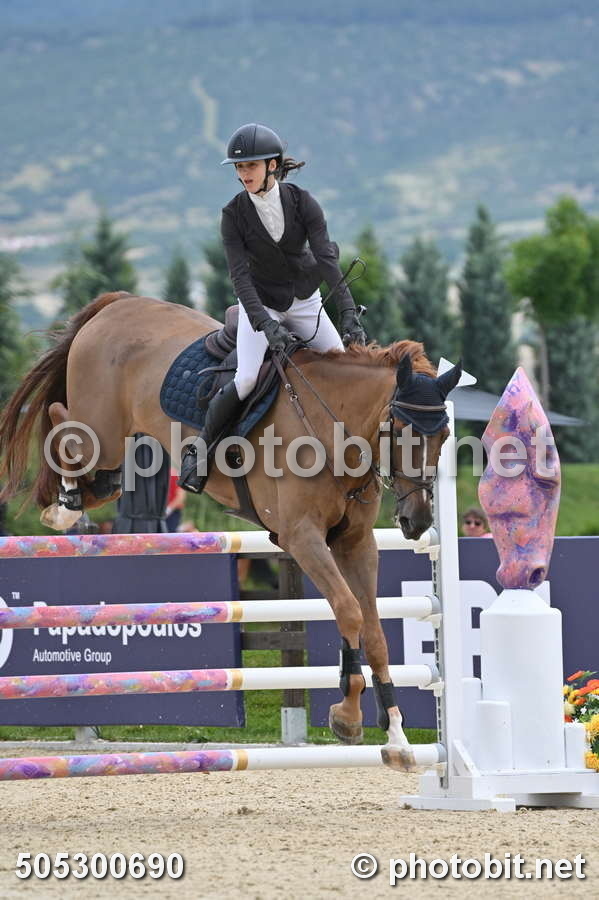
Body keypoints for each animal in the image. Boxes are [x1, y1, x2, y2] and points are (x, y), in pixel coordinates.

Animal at [0, 291, 461, 766]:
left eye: (443, 436)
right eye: (401, 430)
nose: (417, 520)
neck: (332, 425)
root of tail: (120, 302)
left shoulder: (355, 544)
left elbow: (373, 630)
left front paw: (396, 736)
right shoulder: (302, 538)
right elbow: (349, 611)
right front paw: (348, 716)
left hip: (112, 462)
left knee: (100, 480)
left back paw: (67, 505)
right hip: (103, 434)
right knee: (60, 418)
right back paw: (64, 503)